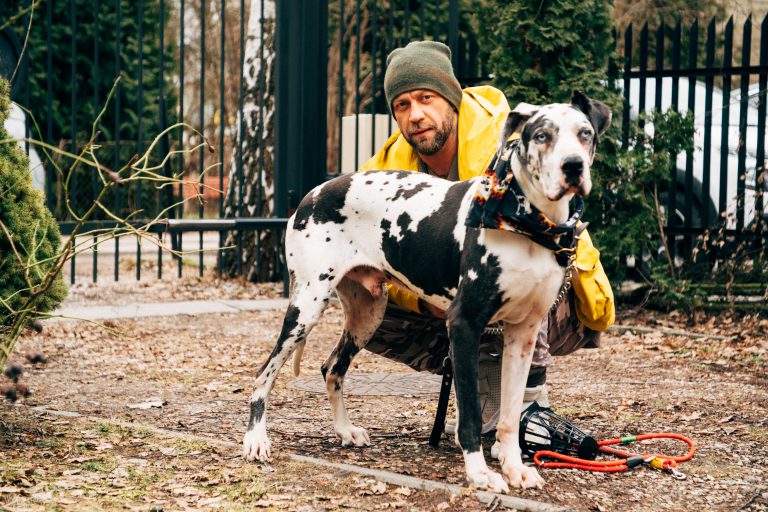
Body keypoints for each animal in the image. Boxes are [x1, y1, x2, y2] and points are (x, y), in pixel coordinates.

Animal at [243, 91, 608, 492]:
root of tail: (312, 193)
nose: (573, 166)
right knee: (264, 372)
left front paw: (513, 467)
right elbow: (469, 415)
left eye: (585, 133)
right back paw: (256, 439)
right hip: (306, 308)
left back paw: (344, 430)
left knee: (332, 368)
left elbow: (511, 415)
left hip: (367, 316)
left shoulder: (522, 335)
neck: (529, 224)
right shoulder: (464, 326)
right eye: (542, 135)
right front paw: (480, 473)